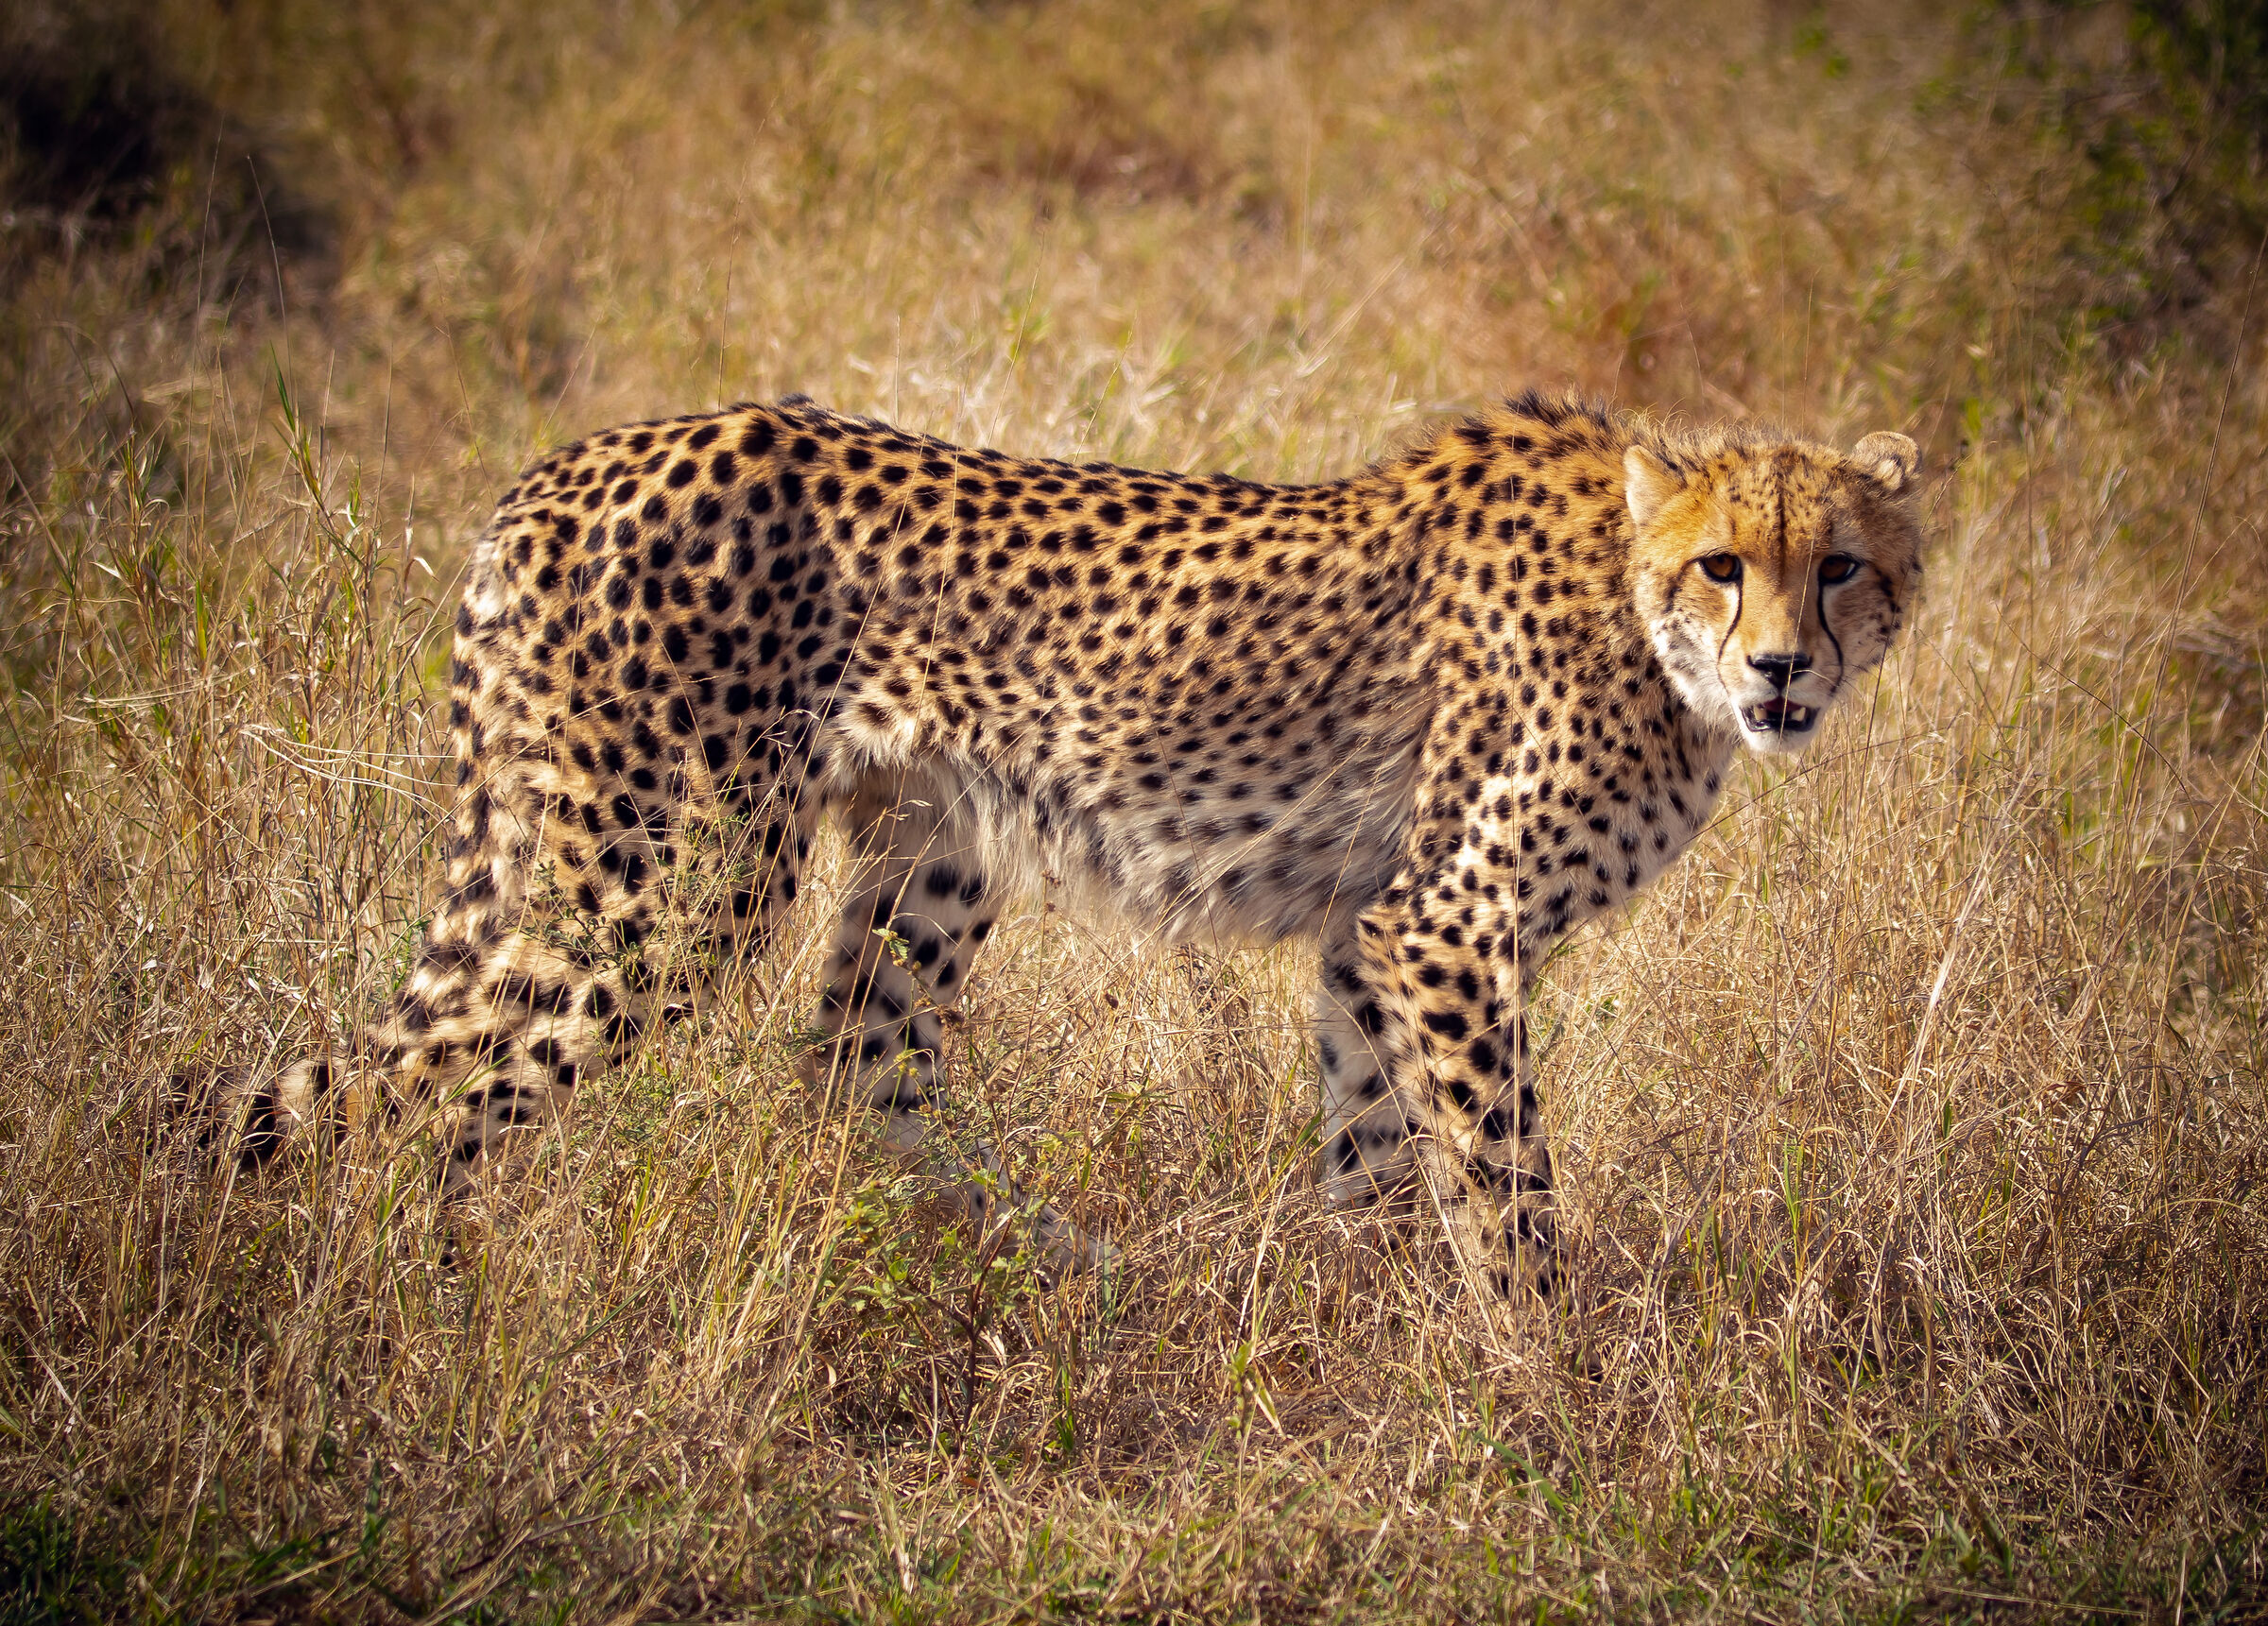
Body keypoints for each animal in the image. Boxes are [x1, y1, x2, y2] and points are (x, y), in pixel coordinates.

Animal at [211, 388, 1924, 1300]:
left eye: (1842, 565)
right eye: (1724, 565)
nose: (1785, 668)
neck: (1643, 624)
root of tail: (569, 463)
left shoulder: (1369, 930)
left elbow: (1377, 1145)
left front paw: (1351, 1316)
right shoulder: (1445, 924)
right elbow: (1506, 1192)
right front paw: (1548, 1391)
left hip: (929, 847)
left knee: (854, 1070)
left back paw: (1034, 1269)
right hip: (663, 887)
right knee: (445, 1106)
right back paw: (451, 1302)